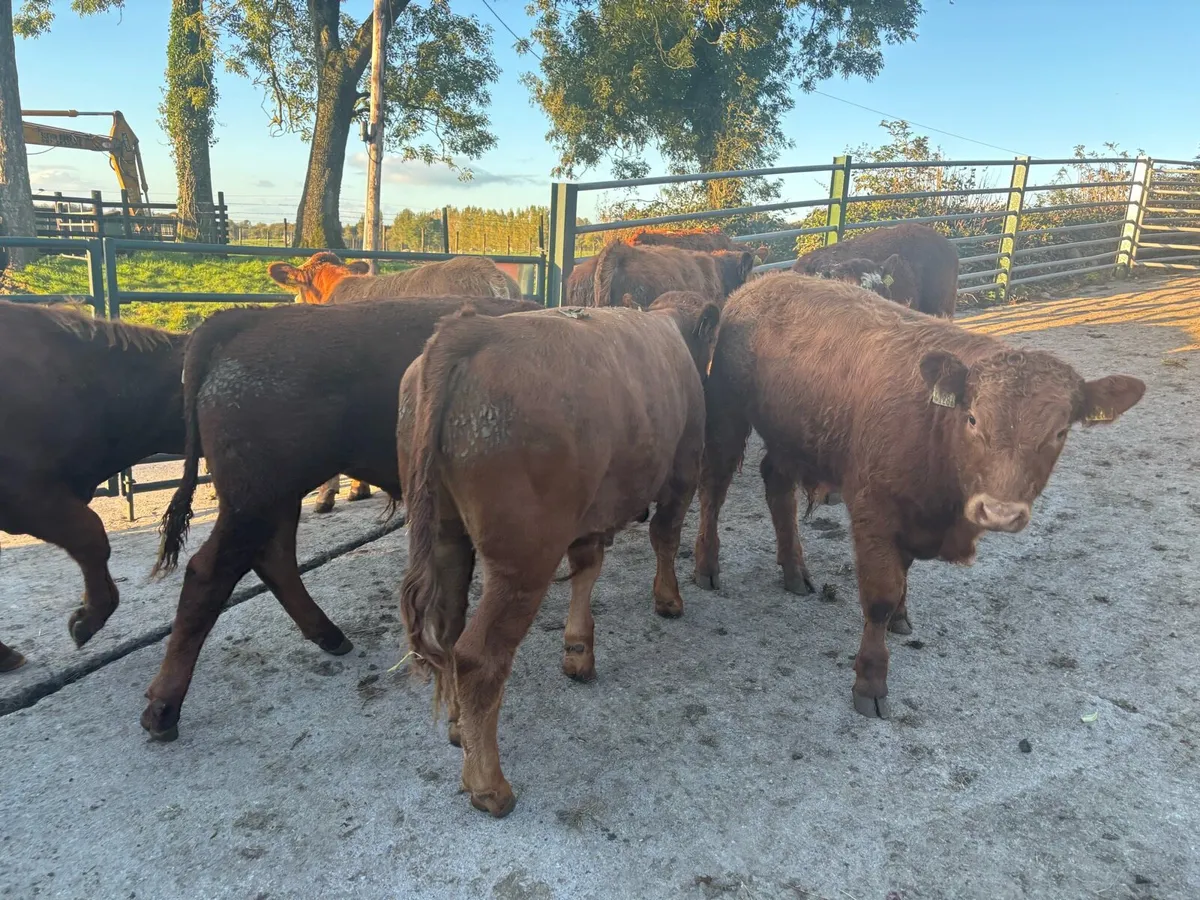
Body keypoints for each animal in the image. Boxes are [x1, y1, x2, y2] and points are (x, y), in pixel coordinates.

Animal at [141, 294, 541, 742]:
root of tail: (249, 319)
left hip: (279, 498)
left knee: (274, 558)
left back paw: (331, 637)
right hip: (254, 500)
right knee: (209, 572)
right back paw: (162, 710)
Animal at [397, 291, 721, 818]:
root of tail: (468, 330)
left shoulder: (590, 512)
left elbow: (588, 568)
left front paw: (578, 652)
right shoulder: (683, 469)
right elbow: (664, 537)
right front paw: (668, 600)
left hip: (447, 535)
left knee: (447, 632)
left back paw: (458, 728)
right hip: (523, 558)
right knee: (477, 657)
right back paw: (488, 785)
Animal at [692, 274, 1144, 720]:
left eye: (1060, 432)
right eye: (973, 419)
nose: (999, 512)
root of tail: (760, 284)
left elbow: (903, 576)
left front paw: (902, 617)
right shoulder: (874, 513)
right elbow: (880, 596)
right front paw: (871, 682)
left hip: (789, 440)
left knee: (777, 487)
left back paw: (793, 570)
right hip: (727, 418)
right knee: (714, 488)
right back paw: (707, 567)